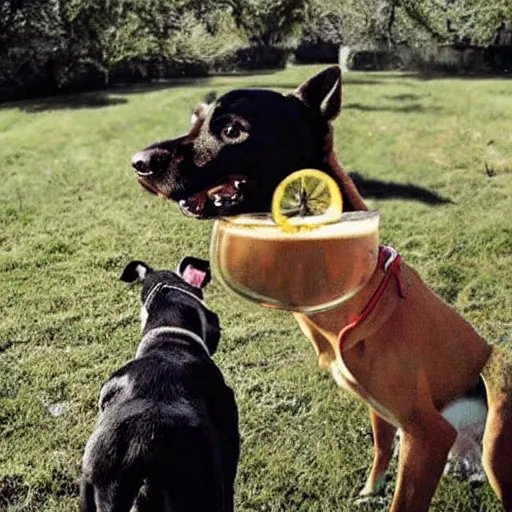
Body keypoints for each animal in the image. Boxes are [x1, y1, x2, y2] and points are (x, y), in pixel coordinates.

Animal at [132, 68, 512, 512]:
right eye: (196, 119)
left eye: (231, 130)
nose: (137, 162)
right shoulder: (383, 414)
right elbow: (381, 450)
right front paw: (369, 491)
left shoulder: (427, 435)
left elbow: (403, 497)